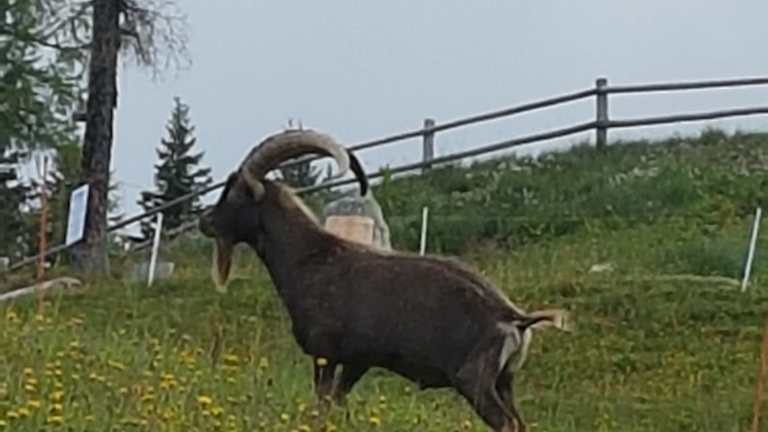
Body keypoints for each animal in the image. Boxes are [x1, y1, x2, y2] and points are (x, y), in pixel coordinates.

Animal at [198, 129, 572, 432]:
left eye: (234, 192)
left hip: (475, 380)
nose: (205, 221)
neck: (311, 259)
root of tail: (514, 318)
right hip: (504, 382)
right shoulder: (357, 361)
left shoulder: (326, 354)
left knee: (507, 423)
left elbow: (322, 404)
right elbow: (337, 403)